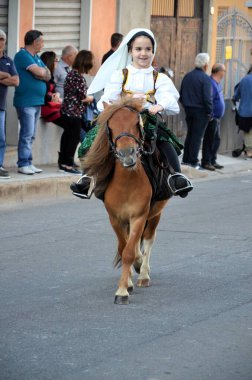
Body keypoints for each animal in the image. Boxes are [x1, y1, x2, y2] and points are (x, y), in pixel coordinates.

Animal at [82, 96, 168, 304]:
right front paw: (126, 283)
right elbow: (124, 248)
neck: (127, 183)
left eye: (137, 123)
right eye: (110, 126)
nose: (127, 154)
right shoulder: (115, 218)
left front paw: (122, 291)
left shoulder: (139, 216)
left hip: (155, 214)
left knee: (149, 239)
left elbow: (129, 252)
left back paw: (143, 274)